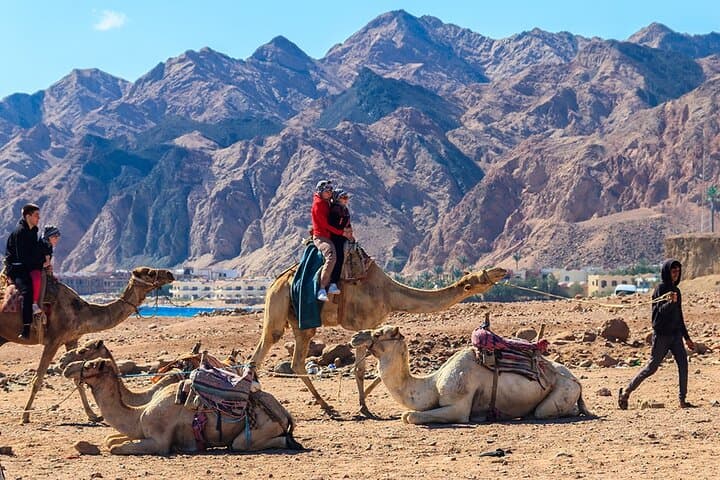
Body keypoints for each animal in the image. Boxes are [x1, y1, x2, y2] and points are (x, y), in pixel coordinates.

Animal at [0, 267, 174, 423]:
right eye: (149, 272)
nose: (169, 274)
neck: (80, 312)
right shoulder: (53, 340)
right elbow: (38, 380)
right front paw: (25, 416)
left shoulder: (71, 339)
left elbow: (77, 379)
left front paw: (93, 415)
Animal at [63, 358, 303, 455]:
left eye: (91, 364)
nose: (66, 368)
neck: (139, 413)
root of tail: (285, 414)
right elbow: (111, 439)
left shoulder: (159, 441)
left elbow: (115, 447)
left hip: (257, 430)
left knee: (242, 443)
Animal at [249, 261, 506, 415]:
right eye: (478, 279)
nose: (501, 271)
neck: (390, 294)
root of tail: (274, 283)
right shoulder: (363, 323)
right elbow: (360, 369)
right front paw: (364, 407)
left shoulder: (372, 326)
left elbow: (374, 369)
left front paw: (363, 401)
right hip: (279, 307)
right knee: (265, 348)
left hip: (301, 323)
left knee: (296, 361)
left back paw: (326, 406)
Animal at [351, 326, 592, 424]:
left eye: (378, 333)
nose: (355, 337)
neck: (432, 383)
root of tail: (576, 380)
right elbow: (408, 414)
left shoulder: (459, 405)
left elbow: (410, 416)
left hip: (563, 390)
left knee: (543, 411)